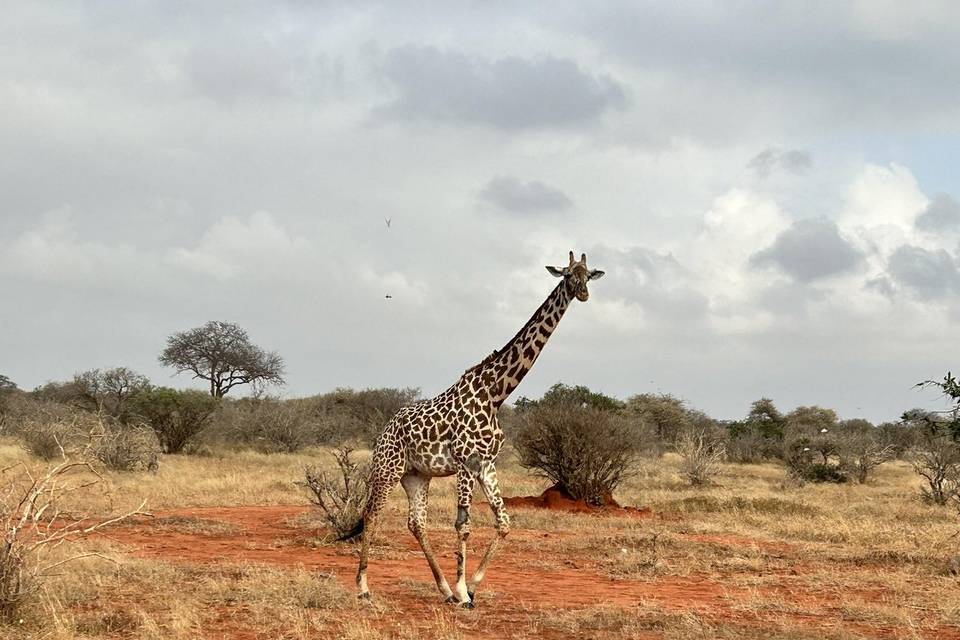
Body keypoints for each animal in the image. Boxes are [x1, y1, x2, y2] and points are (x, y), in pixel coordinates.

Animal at [352, 250, 608, 604]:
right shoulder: (465, 461)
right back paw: (364, 587)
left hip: (417, 475)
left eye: (588, 275)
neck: (496, 393)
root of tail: (384, 430)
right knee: (372, 514)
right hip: (387, 469)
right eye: (568, 274)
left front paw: (470, 587)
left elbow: (503, 522)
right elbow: (463, 524)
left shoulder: (486, 463)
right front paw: (463, 592)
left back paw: (443, 588)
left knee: (416, 523)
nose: (582, 293)